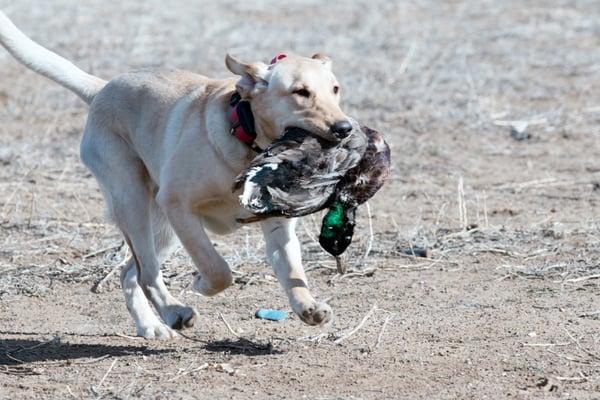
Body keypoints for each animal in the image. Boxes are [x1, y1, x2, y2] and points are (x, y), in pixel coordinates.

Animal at [1, 11, 356, 338]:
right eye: (300, 92)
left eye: (335, 89)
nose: (345, 128)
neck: (248, 145)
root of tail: (102, 88)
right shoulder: (179, 206)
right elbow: (217, 269)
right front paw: (200, 283)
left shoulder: (277, 226)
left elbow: (293, 272)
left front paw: (309, 307)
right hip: (134, 202)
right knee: (147, 273)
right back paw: (174, 313)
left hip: (162, 228)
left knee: (130, 272)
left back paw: (150, 326)